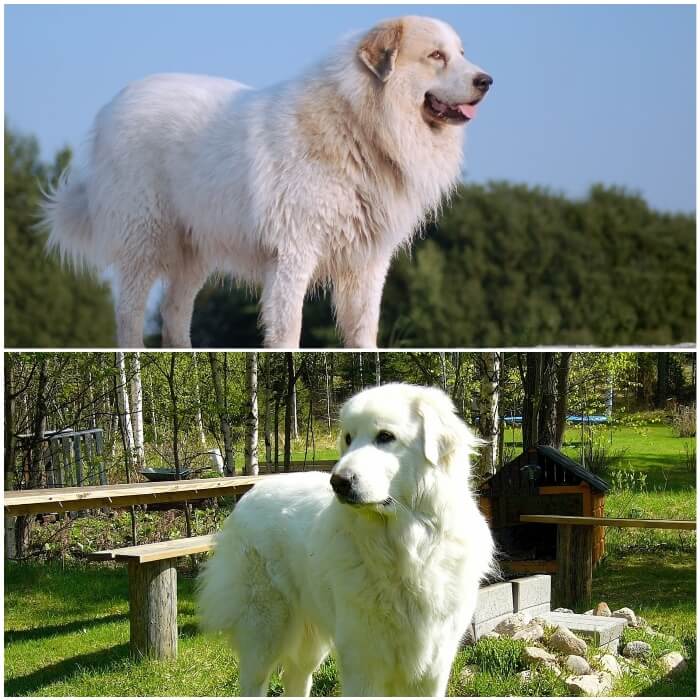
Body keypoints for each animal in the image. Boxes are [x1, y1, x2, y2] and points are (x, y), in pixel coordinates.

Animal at [42, 18, 492, 350]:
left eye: (462, 54)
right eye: (436, 55)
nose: (486, 80)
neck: (360, 125)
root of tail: (112, 106)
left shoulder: (367, 261)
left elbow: (364, 331)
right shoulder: (294, 253)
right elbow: (289, 329)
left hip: (195, 249)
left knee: (174, 313)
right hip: (145, 238)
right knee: (130, 316)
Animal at [196, 382, 492, 696]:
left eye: (385, 437)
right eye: (348, 439)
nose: (338, 482)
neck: (405, 549)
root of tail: (251, 492)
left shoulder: (432, 667)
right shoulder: (362, 661)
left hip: (309, 640)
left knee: (296, 676)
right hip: (265, 630)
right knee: (255, 679)